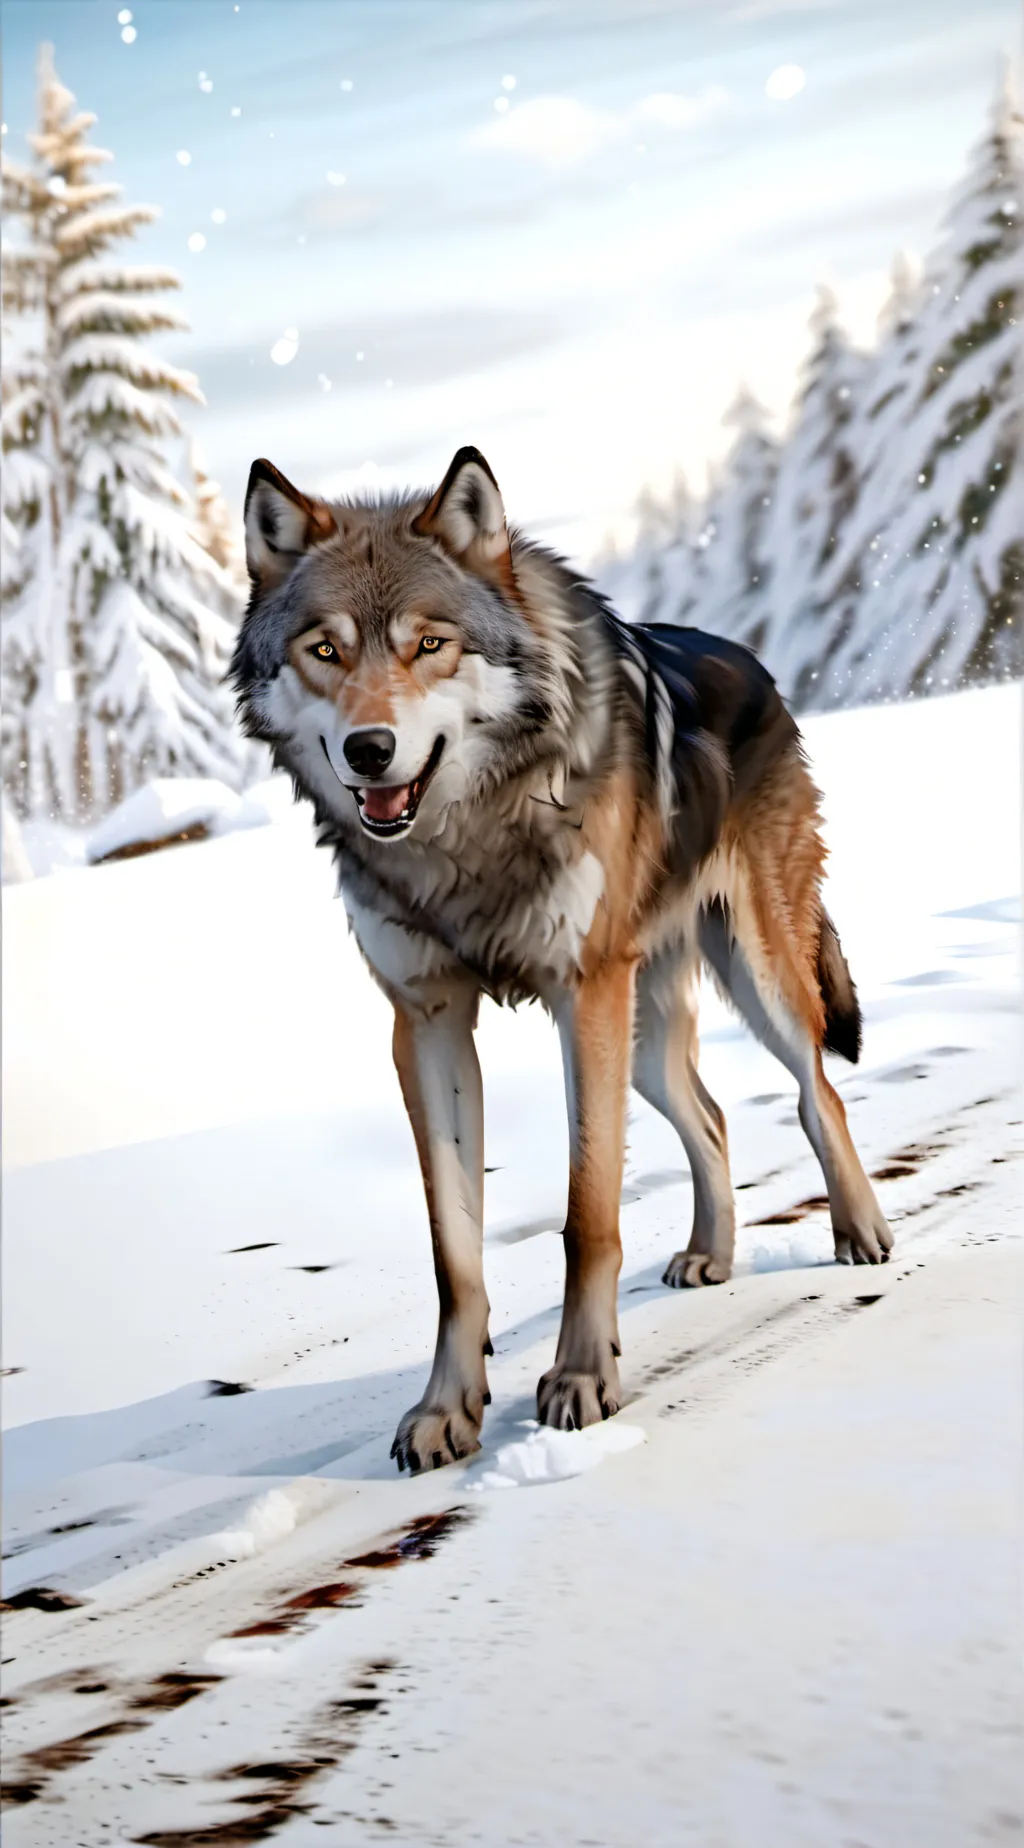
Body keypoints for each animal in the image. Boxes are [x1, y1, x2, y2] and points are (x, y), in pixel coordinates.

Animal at [232, 445, 893, 1472]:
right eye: (326, 650)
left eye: (431, 644)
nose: (370, 749)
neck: (464, 840)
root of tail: (752, 660)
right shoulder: (427, 1023)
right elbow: (453, 1255)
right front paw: (446, 1410)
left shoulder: (583, 996)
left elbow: (589, 1217)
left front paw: (583, 1380)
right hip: (647, 1040)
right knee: (711, 1117)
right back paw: (712, 1255)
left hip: (748, 978)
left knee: (817, 1089)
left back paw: (860, 1232)